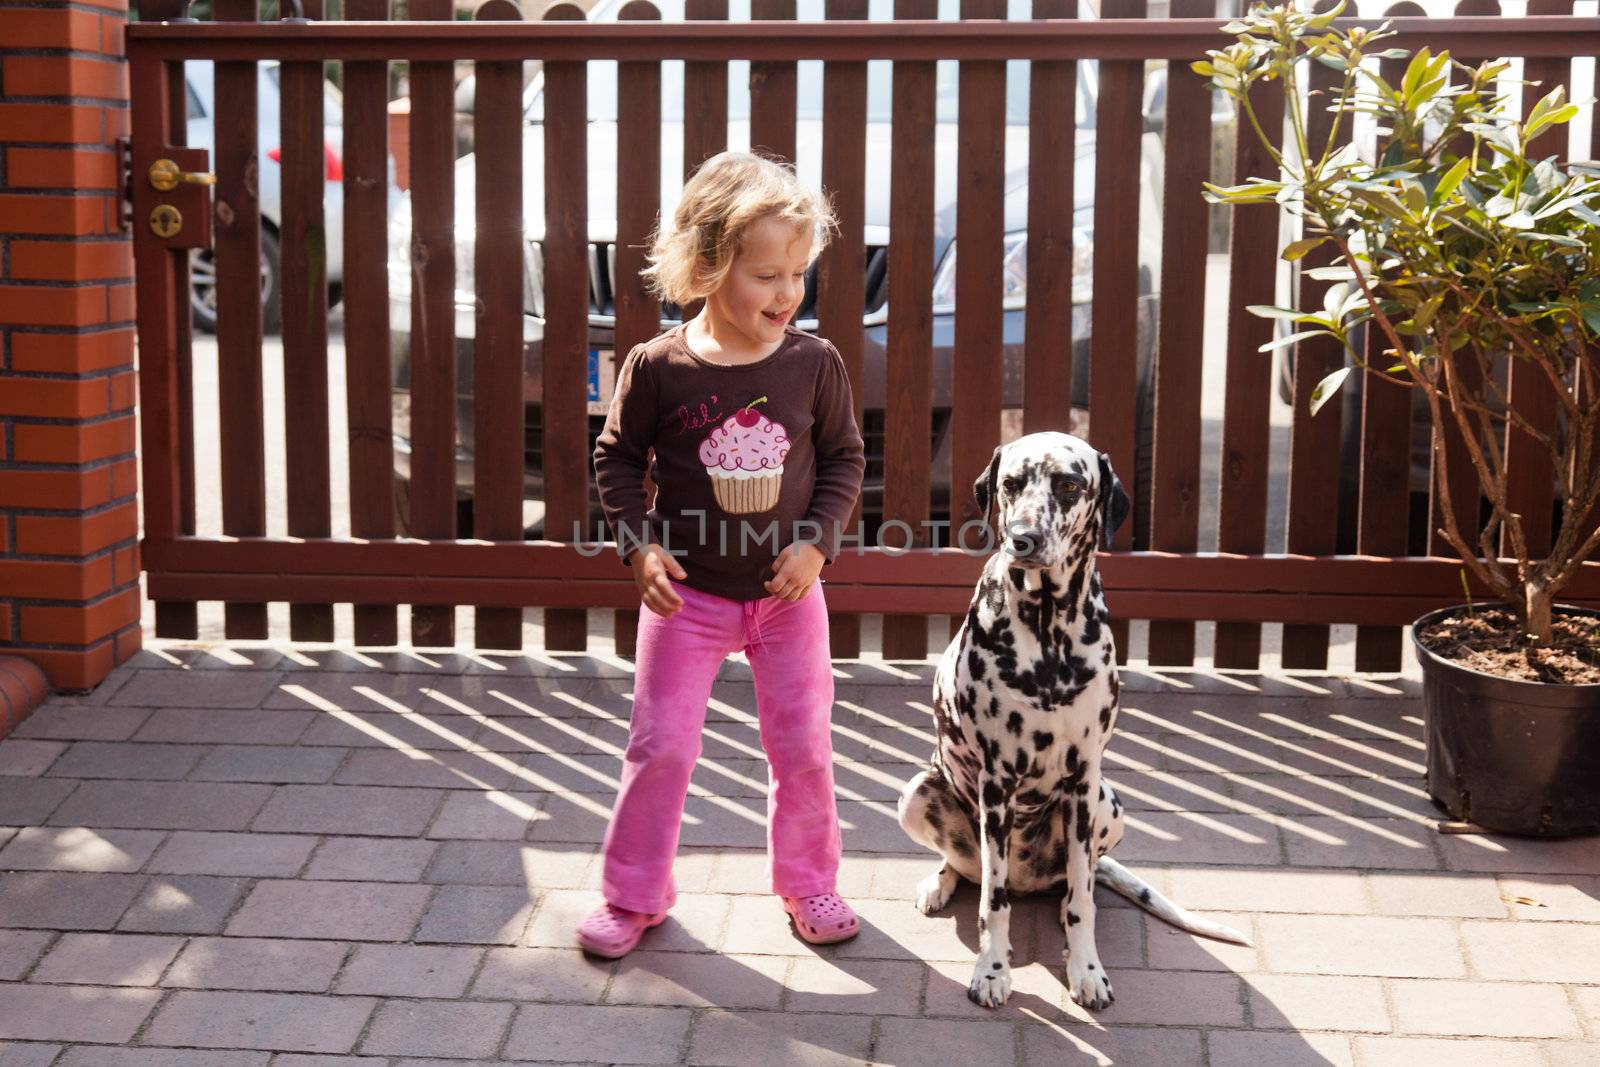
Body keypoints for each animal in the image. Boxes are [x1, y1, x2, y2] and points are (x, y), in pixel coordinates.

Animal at [889, 431, 1248, 1011]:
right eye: (1011, 483)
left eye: (1070, 485)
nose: (1023, 539)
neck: (1048, 625)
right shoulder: (996, 784)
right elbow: (993, 903)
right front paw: (991, 971)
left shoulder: (1083, 781)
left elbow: (1082, 900)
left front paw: (1086, 970)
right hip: (919, 792)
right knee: (972, 872)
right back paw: (941, 883)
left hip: (1109, 804)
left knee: (1081, 881)